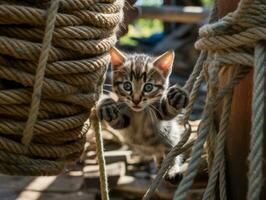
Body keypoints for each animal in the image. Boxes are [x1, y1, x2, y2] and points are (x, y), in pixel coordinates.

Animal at [96, 47, 188, 181]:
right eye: (127, 86)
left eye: (148, 87)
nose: (136, 100)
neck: (139, 113)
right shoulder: (124, 119)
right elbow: (117, 121)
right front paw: (107, 105)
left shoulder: (160, 112)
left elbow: (168, 112)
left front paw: (178, 95)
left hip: (171, 137)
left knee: (172, 154)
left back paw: (172, 170)